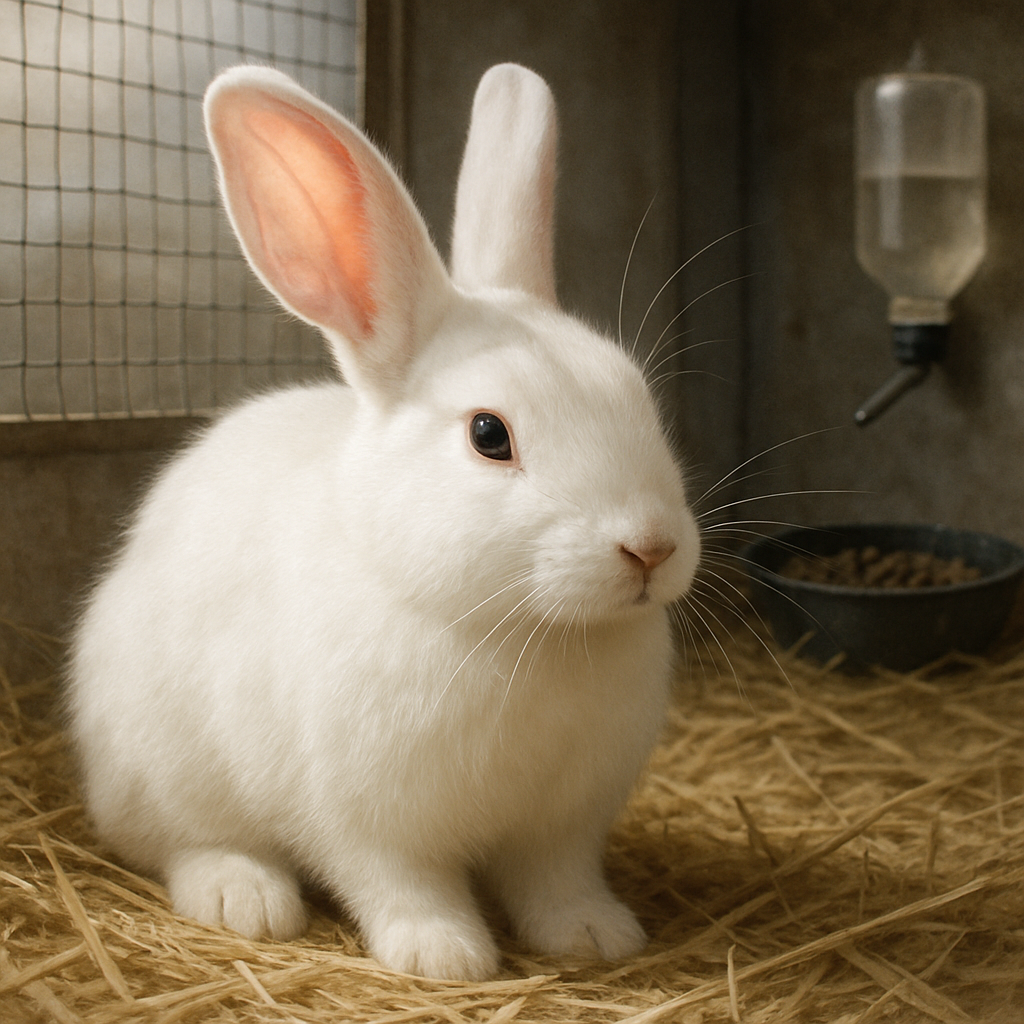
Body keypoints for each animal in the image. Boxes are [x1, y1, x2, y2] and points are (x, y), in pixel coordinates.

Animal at [67, 62, 701, 982]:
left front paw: (596, 936)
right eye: (489, 435)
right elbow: (401, 884)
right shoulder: (369, 823)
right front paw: (444, 956)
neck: (529, 632)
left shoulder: (562, 827)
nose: (650, 547)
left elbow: (558, 882)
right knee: (178, 844)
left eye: (638, 400)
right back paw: (244, 897)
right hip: (162, 769)